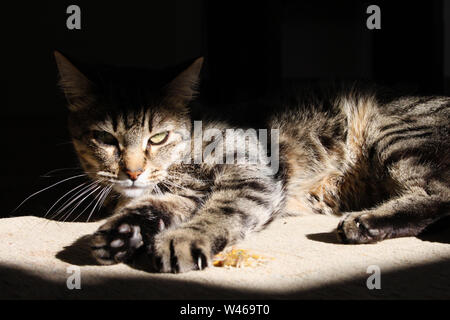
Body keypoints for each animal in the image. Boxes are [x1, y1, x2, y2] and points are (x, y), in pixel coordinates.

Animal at [53, 51, 450, 272]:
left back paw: (365, 222)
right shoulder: (182, 196)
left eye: (158, 137)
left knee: (438, 193)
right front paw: (120, 234)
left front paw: (183, 238)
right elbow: (151, 208)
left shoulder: (249, 172)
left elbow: (221, 211)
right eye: (106, 139)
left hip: (396, 137)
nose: (133, 172)